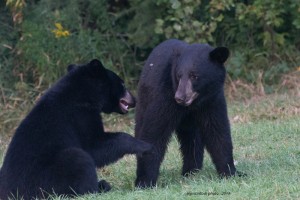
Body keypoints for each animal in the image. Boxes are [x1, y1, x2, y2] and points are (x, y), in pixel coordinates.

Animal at [0, 58, 152, 199]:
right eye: (122, 84)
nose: (134, 100)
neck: (82, 94)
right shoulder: (80, 116)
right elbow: (94, 147)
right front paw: (144, 146)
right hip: (46, 177)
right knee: (79, 159)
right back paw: (100, 187)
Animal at [135, 38, 241, 188]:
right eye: (179, 76)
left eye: (194, 76)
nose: (179, 97)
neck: (194, 104)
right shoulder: (164, 96)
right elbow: (154, 132)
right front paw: (144, 181)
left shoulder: (213, 99)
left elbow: (217, 131)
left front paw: (230, 172)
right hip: (144, 99)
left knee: (193, 139)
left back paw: (192, 170)